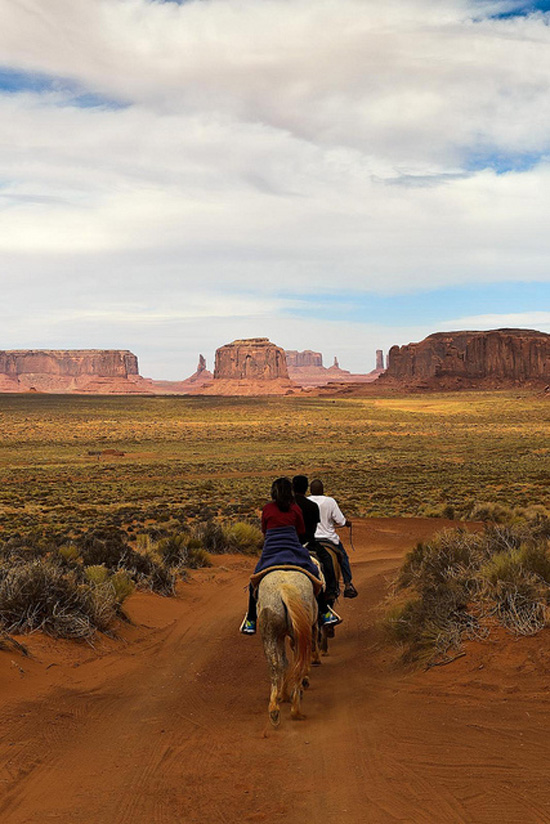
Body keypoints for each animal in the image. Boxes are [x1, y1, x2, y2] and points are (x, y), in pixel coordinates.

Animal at [258, 568, 322, 724]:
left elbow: (284, 662)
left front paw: (284, 694)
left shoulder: (281, 636)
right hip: (299, 631)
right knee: (297, 664)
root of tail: (283, 588)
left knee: (275, 665)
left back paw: (275, 709)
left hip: (270, 633)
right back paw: (295, 709)